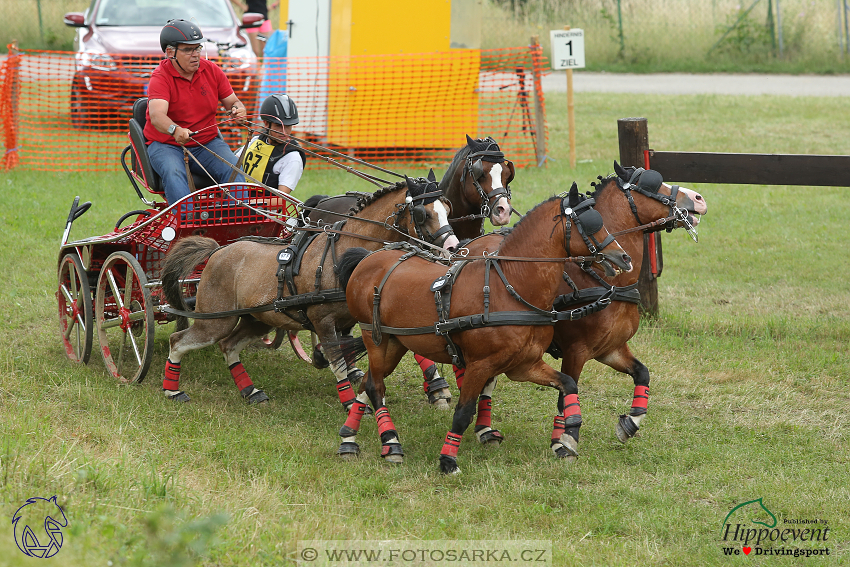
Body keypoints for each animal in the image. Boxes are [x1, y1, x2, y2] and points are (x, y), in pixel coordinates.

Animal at [157, 176, 458, 404]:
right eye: (423, 213)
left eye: (447, 208)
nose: (453, 247)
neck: (343, 252)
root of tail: (217, 250)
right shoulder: (323, 321)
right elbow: (338, 362)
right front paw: (349, 402)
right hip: (216, 320)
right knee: (179, 341)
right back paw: (172, 390)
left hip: (257, 319)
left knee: (228, 345)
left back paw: (250, 391)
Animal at [332, 189, 628, 472]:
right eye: (591, 224)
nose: (623, 257)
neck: (511, 287)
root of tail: (367, 259)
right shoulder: (479, 365)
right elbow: (463, 413)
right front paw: (448, 460)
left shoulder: (524, 365)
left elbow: (567, 383)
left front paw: (569, 434)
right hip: (375, 339)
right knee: (376, 387)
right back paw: (391, 442)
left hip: (395, 343)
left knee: (368, 382)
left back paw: (350, 440)